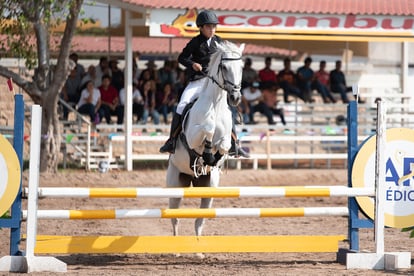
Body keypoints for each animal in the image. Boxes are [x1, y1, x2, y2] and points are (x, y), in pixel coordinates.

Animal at [167, 40, 246, 240]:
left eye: (241, 67)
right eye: (224, 67)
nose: (235, 97)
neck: (215, 105)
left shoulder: (226, 139)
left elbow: (224, 144)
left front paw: (212, 157)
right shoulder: (193, 137)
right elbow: (208, 129)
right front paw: (208, 152)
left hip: (209, 187)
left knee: (199, 221)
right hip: (175, 184)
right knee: (175, 219)